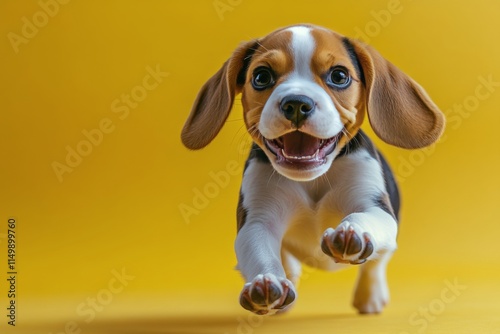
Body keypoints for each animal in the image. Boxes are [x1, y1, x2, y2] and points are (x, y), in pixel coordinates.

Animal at [181, 24, 446, 316]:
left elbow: (363, 218)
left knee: (376, 264)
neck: (312, 180)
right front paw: (267, 282)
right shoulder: (258, 221)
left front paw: (350, 233)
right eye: (261, 76)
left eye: (339, 76)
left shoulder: (376, 207)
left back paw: (371, 295)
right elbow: (261, 253)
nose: (296, 103)